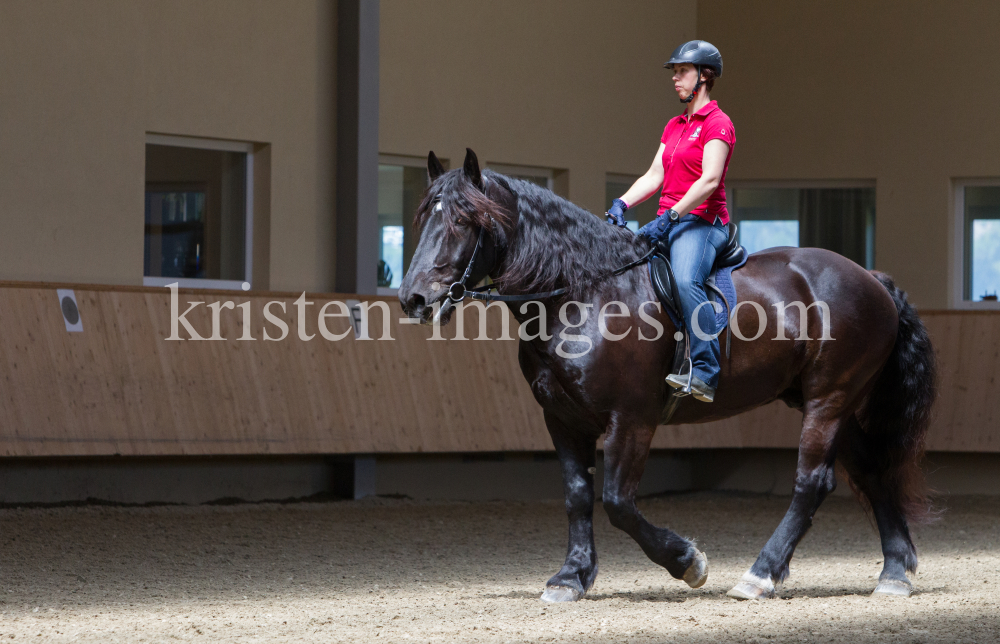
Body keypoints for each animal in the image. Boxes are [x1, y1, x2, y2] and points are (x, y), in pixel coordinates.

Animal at [398, 148, 936, 600]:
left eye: (464, 220)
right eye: (426, 217)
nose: (413, 299)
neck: (583, 294)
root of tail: (872, 279)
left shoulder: (632, 418)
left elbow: (617, 501)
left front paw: (688, 561)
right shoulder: (562, 418)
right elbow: (577, 495)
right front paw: (570, 577)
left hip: (829, 399)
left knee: (812, 482)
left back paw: (760, 575)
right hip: (830, 402)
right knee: (868, 469)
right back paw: (893, 572)